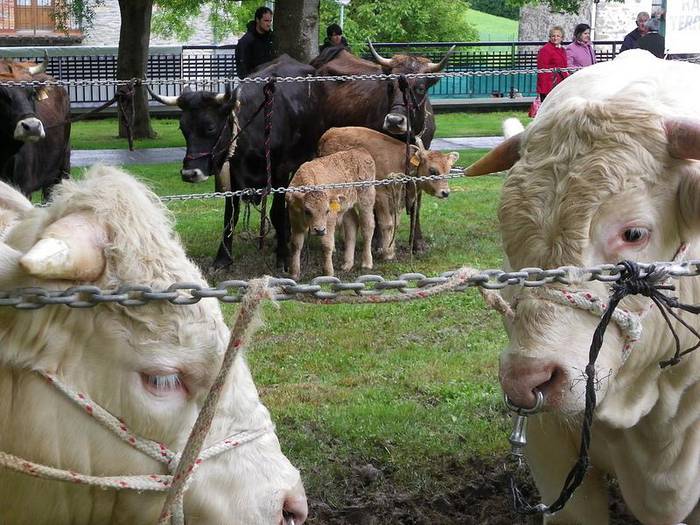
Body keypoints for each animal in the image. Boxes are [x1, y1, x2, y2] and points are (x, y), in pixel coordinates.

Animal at [284, 147, 374, 278]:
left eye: (327, 211)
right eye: (307, 211)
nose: (319, 230)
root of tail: (362, 151)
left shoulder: (330, 221)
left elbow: (326, 245)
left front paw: (328, 273)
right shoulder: (294, 219)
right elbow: (296, 244)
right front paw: (294, 274)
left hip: (366, 201)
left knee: (367, 227)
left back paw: (367, 263)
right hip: (347, 207)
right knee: (352, 226)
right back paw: (347, 264)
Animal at [318, 125, 460, 260]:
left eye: (448, 170)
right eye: (433, 170)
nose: (445, 192)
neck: (403, 163)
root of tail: (330, 132)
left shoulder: (398, 199)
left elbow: (395, 224)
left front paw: (390, 248)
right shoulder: (382, 196)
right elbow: (387, 224)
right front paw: (387, 253)